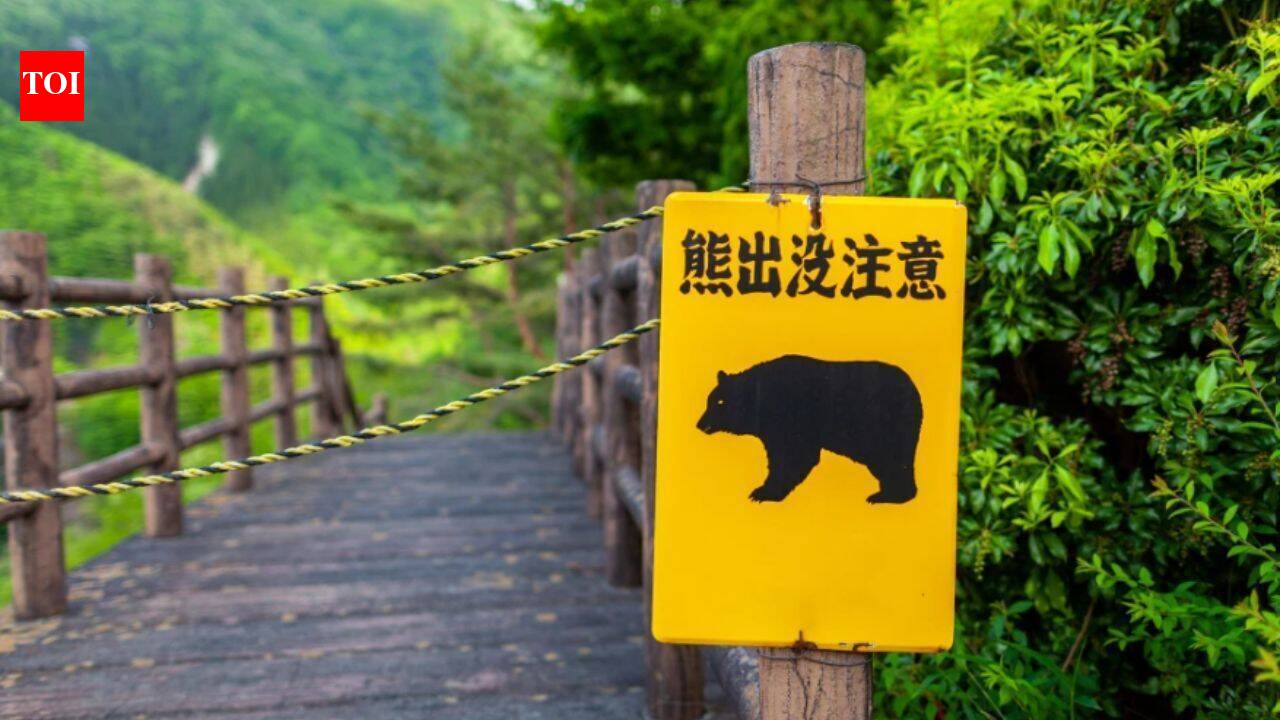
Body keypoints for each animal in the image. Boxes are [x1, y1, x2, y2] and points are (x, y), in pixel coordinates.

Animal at [696, 355, 922, 504]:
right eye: (709, 401)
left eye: (720, 401)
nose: (699, 424)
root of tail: (913, 388)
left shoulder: (792, 421)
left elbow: (794, 456)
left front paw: (763, 492)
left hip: (883, 427)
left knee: (892, 459)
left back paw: (888, 496)